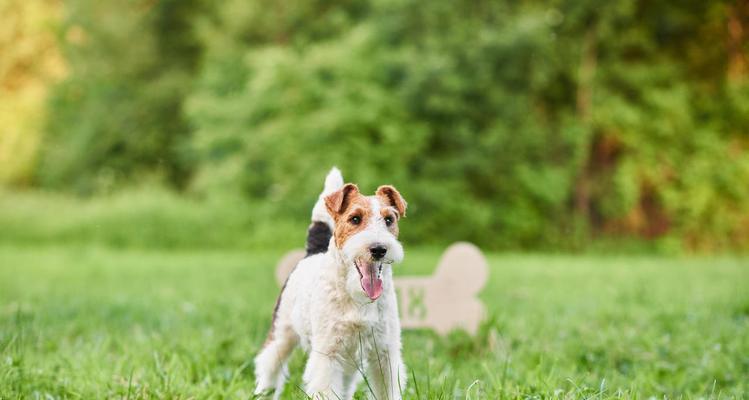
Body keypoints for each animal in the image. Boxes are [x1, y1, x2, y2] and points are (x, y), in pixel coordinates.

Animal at [256, 168, 410, 400]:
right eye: (355, 218)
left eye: (389, 219)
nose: (379, 249)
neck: (358, 297)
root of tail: (311, 253)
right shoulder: (328, 354)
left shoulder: (384, 352)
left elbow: (387, 390)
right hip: (282, 331)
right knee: (268, 363)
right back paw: (263, 392)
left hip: (349, 360)